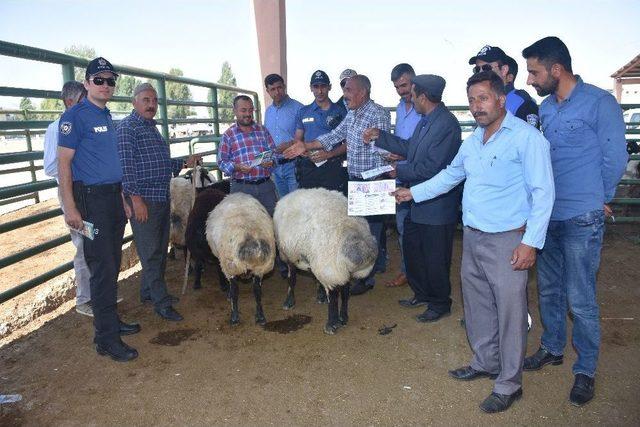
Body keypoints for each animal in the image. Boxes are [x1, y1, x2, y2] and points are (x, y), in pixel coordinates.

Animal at [205, 192, 276, 326]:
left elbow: (234, 290)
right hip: (260, 267)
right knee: (257, 290)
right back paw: (260, 317)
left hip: (231, 265)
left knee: (236, 290)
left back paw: (234, 317)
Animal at [272, 189, 378, 336]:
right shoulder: (333, 271)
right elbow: (337, 296)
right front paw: (335, 322)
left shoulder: (336, 271)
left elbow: (340, 295)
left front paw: (337, 321)